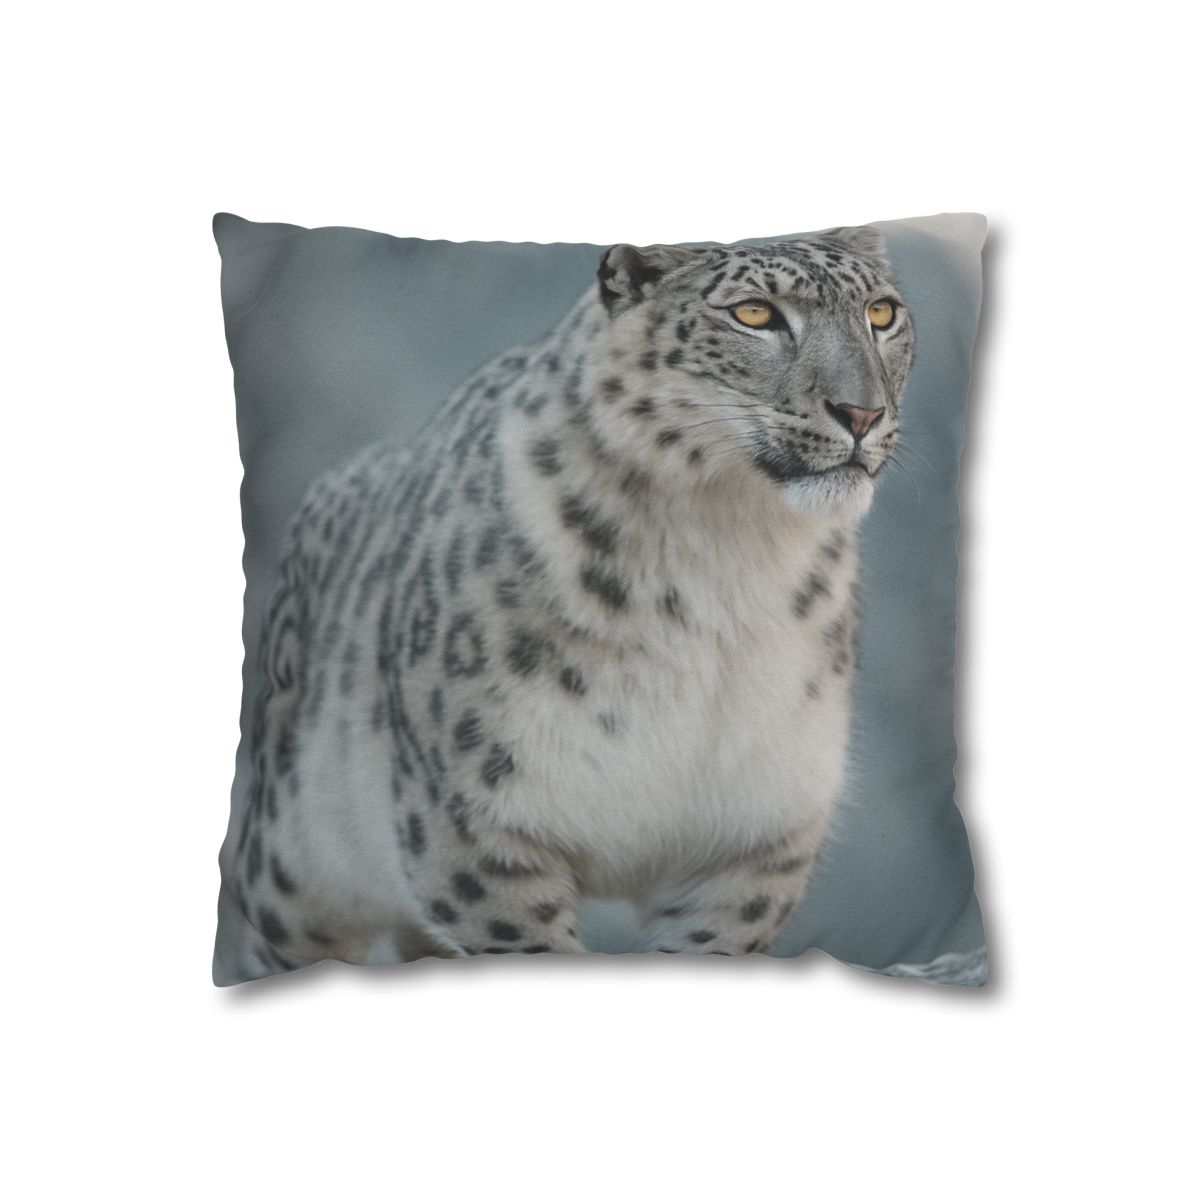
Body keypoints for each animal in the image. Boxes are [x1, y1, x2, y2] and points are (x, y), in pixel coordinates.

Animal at [221, 225, 915, 976]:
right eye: (754, 313)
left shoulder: (756, 837)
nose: (861, 412)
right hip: (294, 863)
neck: (729, 559)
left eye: (881, 313)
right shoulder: (478, 820)